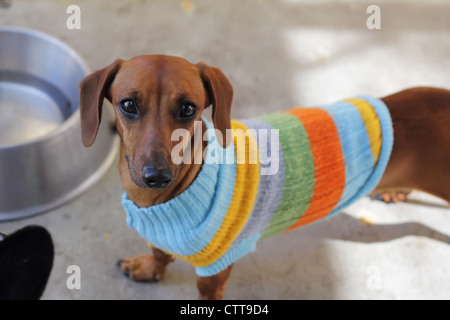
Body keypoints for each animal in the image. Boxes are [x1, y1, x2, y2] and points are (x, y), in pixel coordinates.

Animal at [79, 55, 450, 300]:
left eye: (188, 108)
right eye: (128, 104)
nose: (156, 177)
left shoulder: (217, 269)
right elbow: (158, 252)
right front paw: (150, 268)